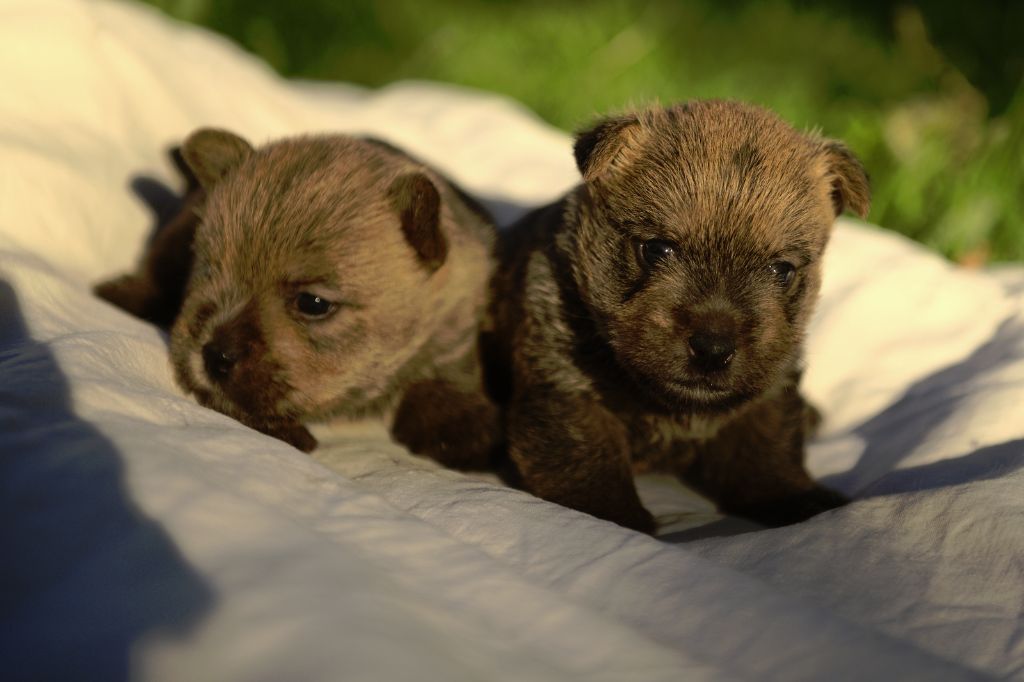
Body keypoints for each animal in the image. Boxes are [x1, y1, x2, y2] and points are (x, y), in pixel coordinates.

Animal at [98, 127, 499, 462]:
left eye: (313, 304)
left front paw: (457, 421)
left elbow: (449, 366)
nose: (214, 356)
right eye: (209, 270)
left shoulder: (458, 317)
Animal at [483, 99, 868, 532]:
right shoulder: (566, 389)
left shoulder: (768, 397)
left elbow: (768, 455)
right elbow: (589, 463)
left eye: (781, 270)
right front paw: (620, 518)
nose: (713, 349)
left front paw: (800, 499)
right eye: (656, 249)